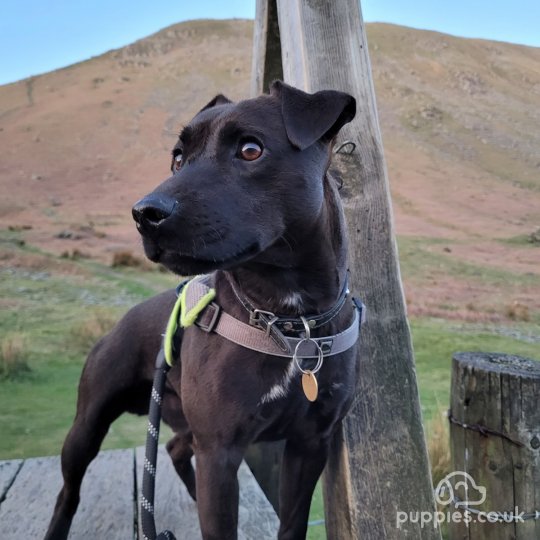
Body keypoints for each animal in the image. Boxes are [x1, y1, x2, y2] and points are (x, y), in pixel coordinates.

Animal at [46, 81, 358, 540]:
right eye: (178, 157)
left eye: (251, 149)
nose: (145, 213)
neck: (287, 319)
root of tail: (120, 323)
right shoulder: (220, 450)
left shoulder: (309, 444)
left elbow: (292, 524)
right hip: (86, 427)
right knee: (68, 492)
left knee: (175, 447)